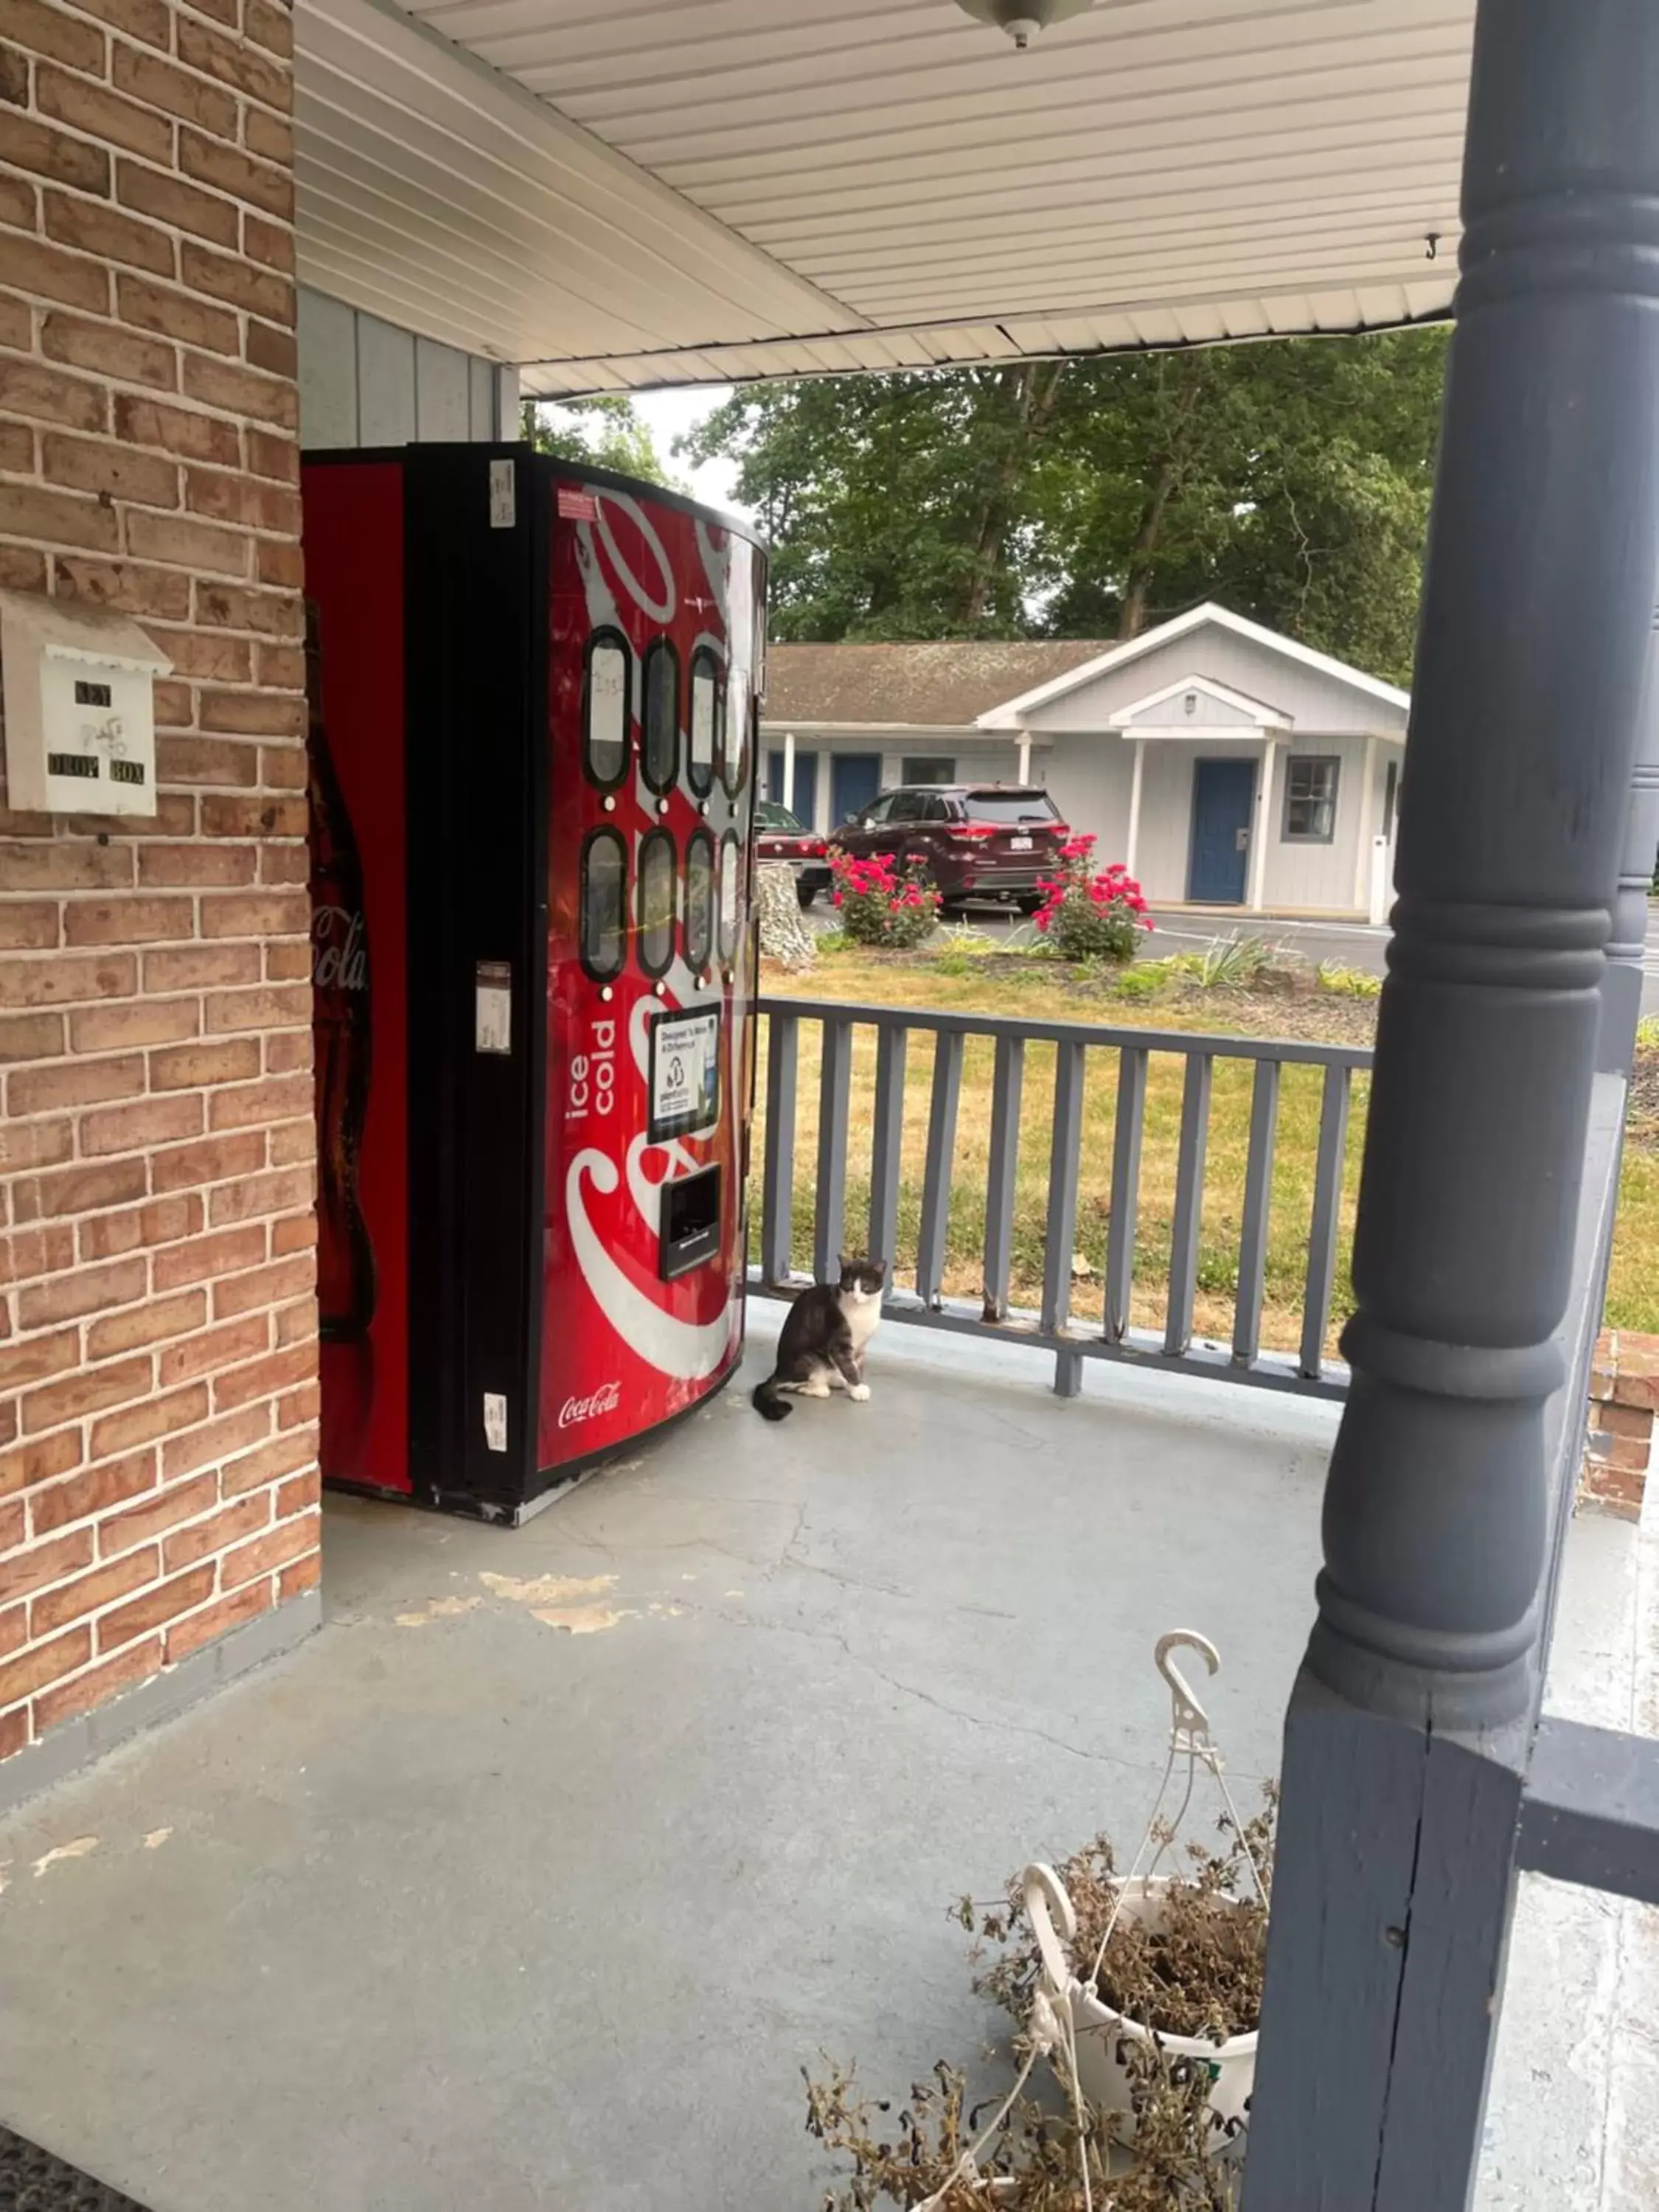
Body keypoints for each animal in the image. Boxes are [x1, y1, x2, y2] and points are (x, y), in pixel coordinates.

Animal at [752, 1256, 885, 1425]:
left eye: (866, 1287)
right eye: (849, 1286)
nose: (855, 1297)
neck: (862, 1312)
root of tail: (778, 1372)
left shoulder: (860, 1348)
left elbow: (857, 1366)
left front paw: (854, 1386)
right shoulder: (838, 1343)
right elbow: (849, 1367)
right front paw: (858, 1390)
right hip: (808, 1359)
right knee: (789, 1385)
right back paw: (819, 1389)